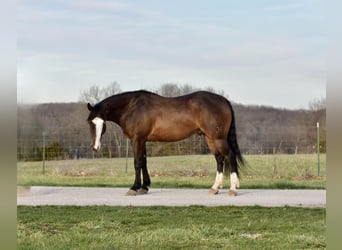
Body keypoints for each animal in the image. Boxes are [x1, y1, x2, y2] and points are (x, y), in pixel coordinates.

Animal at [87, 89, 244, 195]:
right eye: (90, 122)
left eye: (102, 123)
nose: (95, 147)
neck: (132, 107)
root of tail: (224, 101)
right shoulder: (143, 140)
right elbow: (143, 162)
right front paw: (144, 187)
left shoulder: (137, 139)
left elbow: (137, 163)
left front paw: (134, 188)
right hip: (210, 138)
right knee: (219, 159)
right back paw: (215, 188)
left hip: (218, 138)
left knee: (230, 156)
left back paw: (232, 189)